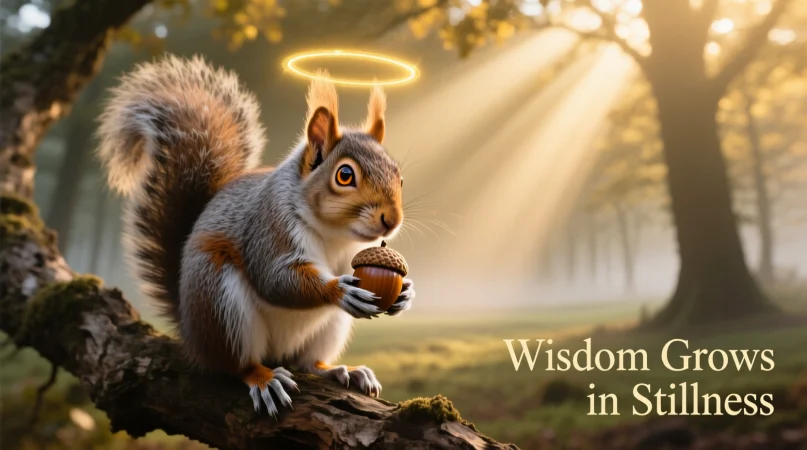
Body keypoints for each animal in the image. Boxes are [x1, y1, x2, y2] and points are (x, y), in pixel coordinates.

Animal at [96, 55, 414, 416]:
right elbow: (275, 279)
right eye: (345, 175)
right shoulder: (269, 230)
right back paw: (264, 379)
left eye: (399, 177)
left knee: (307, 362)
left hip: (328, 328)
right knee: (236, 364)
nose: (392, 219)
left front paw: (405, 293)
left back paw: (341, 369)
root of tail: (191, 335)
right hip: (220, 303)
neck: (335, 235)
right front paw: (338, 290)